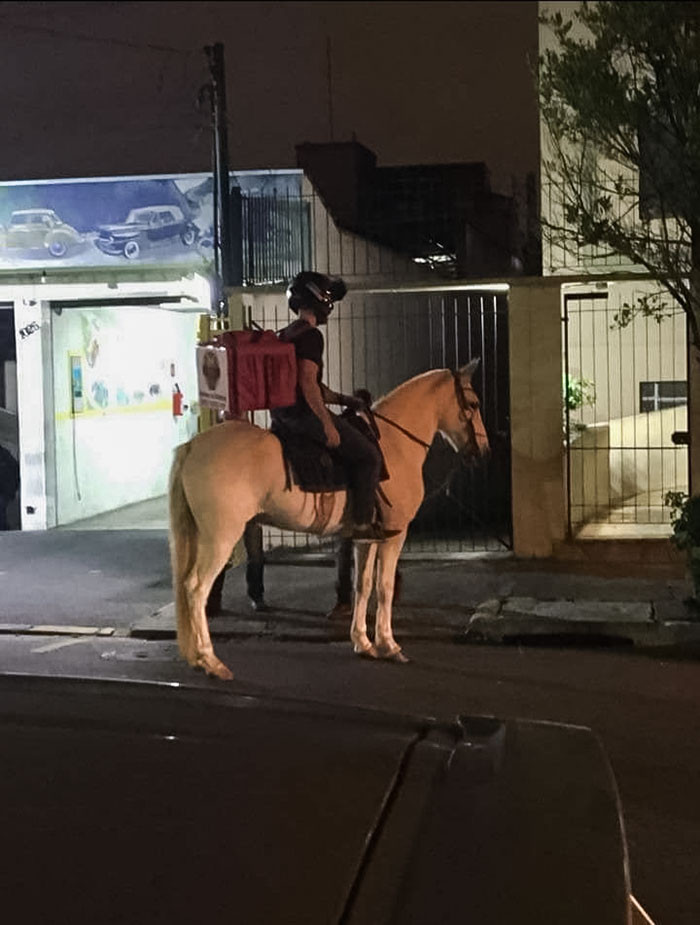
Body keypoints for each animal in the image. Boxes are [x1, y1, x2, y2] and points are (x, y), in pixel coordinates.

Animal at [168, 360, 486, 680]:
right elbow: (384, 588)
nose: (484, 451)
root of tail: (192, 446)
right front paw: (389, 645)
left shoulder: (366, 538)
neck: (393, 443)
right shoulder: (395, 535)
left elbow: (363, 585)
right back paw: (211, 660)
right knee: (196, 588)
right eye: (473, 403)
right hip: (220, 538)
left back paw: (199, 658)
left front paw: (363, 642)